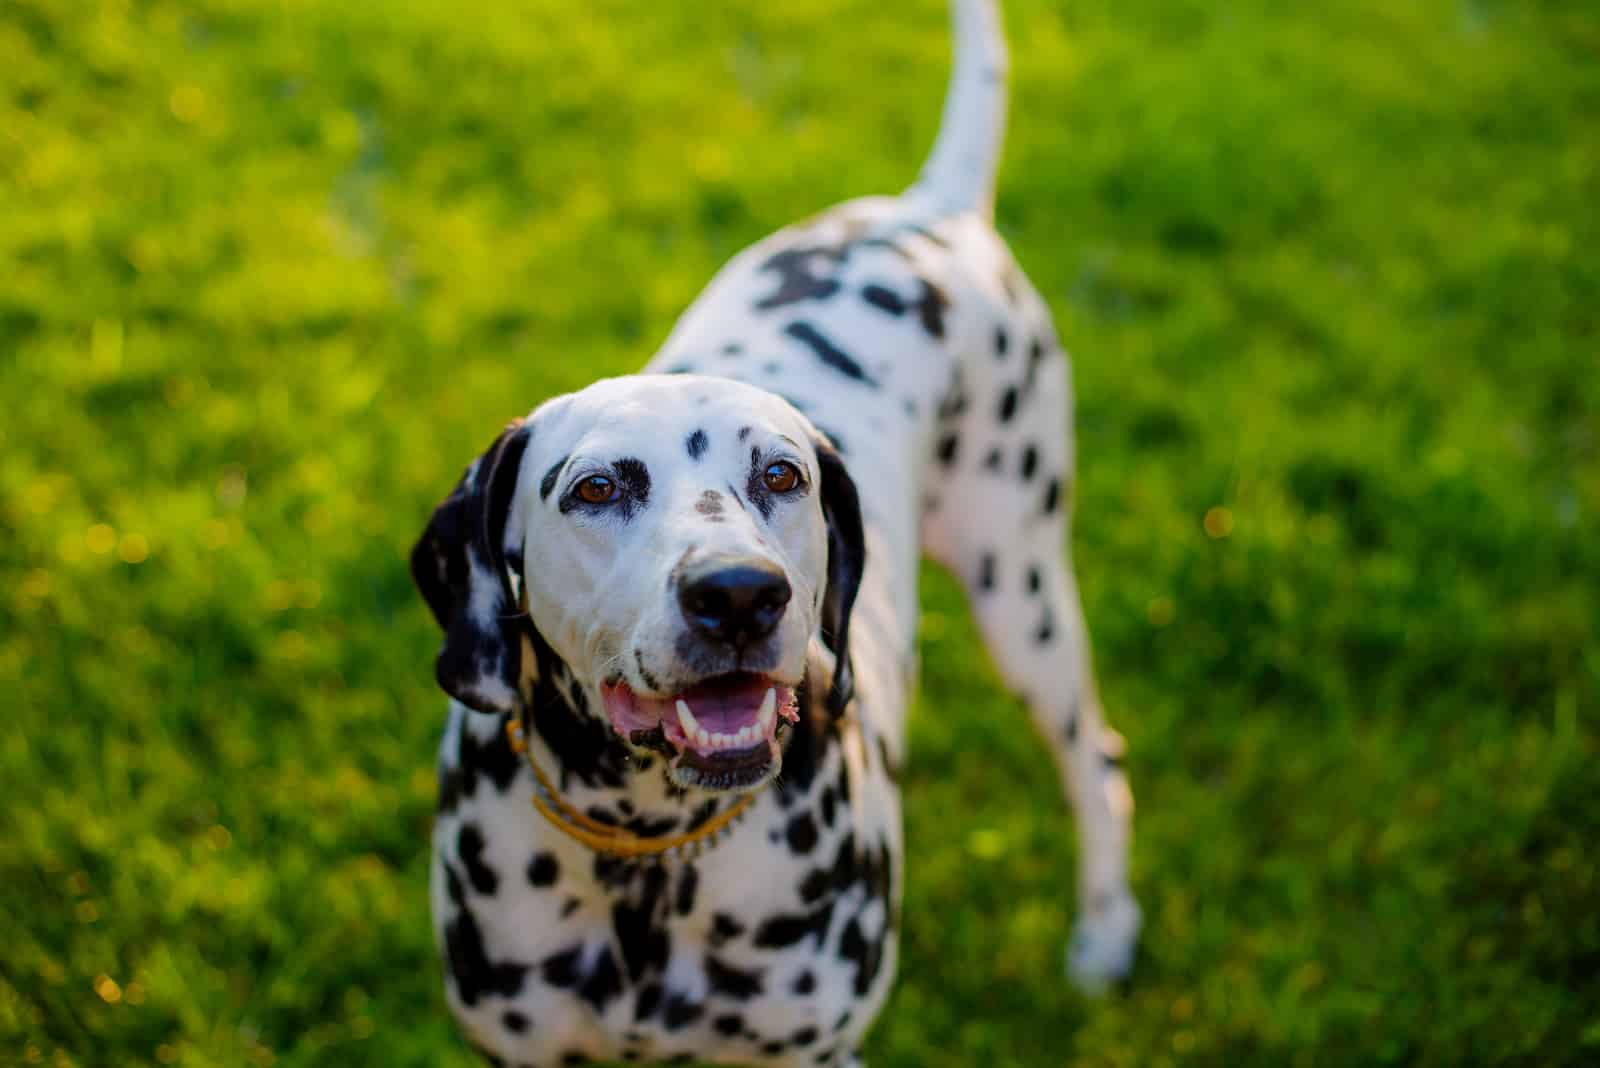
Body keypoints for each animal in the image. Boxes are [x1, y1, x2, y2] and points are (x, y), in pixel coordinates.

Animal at [412, 4, 1139, 1061]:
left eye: (781, 475)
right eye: (596, 488)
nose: (739, 595)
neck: (653, 854)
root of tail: (931, 211)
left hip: (1024, 592)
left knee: (1096, 758)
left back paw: (1106, 929)